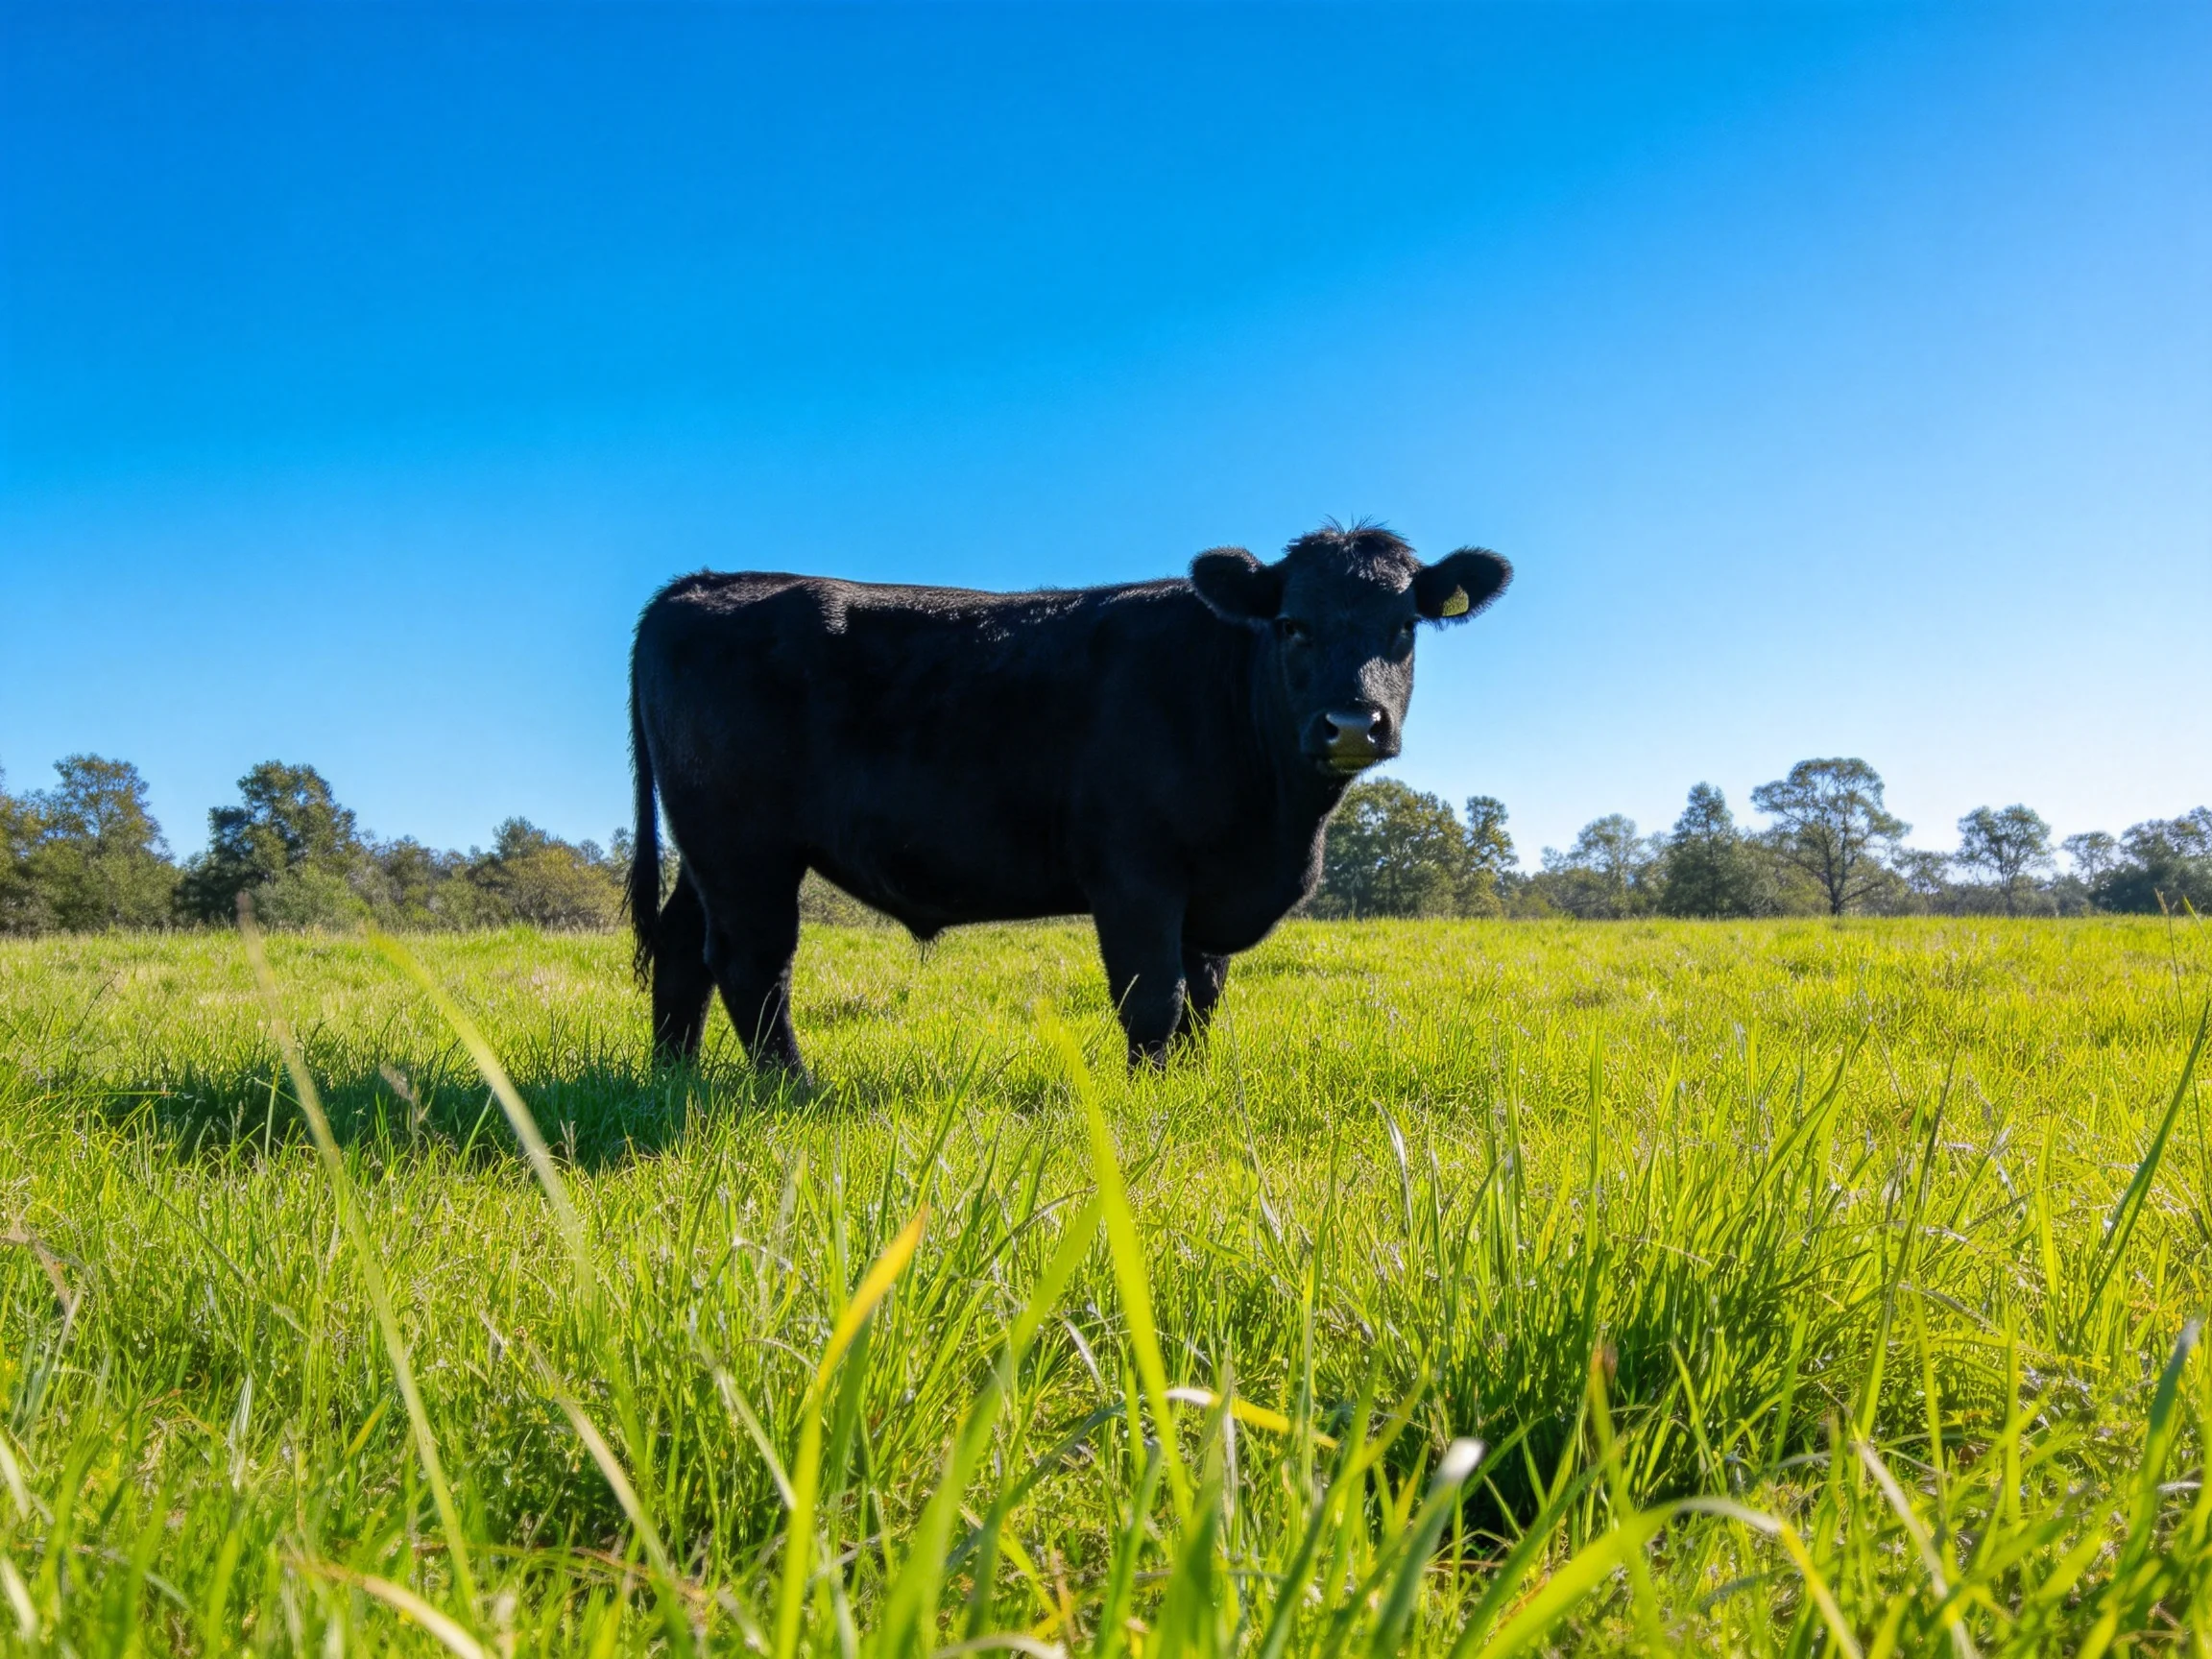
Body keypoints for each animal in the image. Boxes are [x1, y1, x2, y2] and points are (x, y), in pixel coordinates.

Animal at [627, 523, 1511, 1079]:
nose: (1353, 723)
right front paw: (1147, 1098)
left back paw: (673, 1077)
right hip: (746, 848)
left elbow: (1204, 997)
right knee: (752, 963)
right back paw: (793, 1088)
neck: (1281, 828)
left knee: (681, 949)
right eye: (1292, 624)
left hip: (708, 852)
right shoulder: (1134, 873)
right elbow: (1154, 998)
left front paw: (1189, 1088)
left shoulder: (1211, 889)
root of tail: (702, 584)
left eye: (1405, 627)